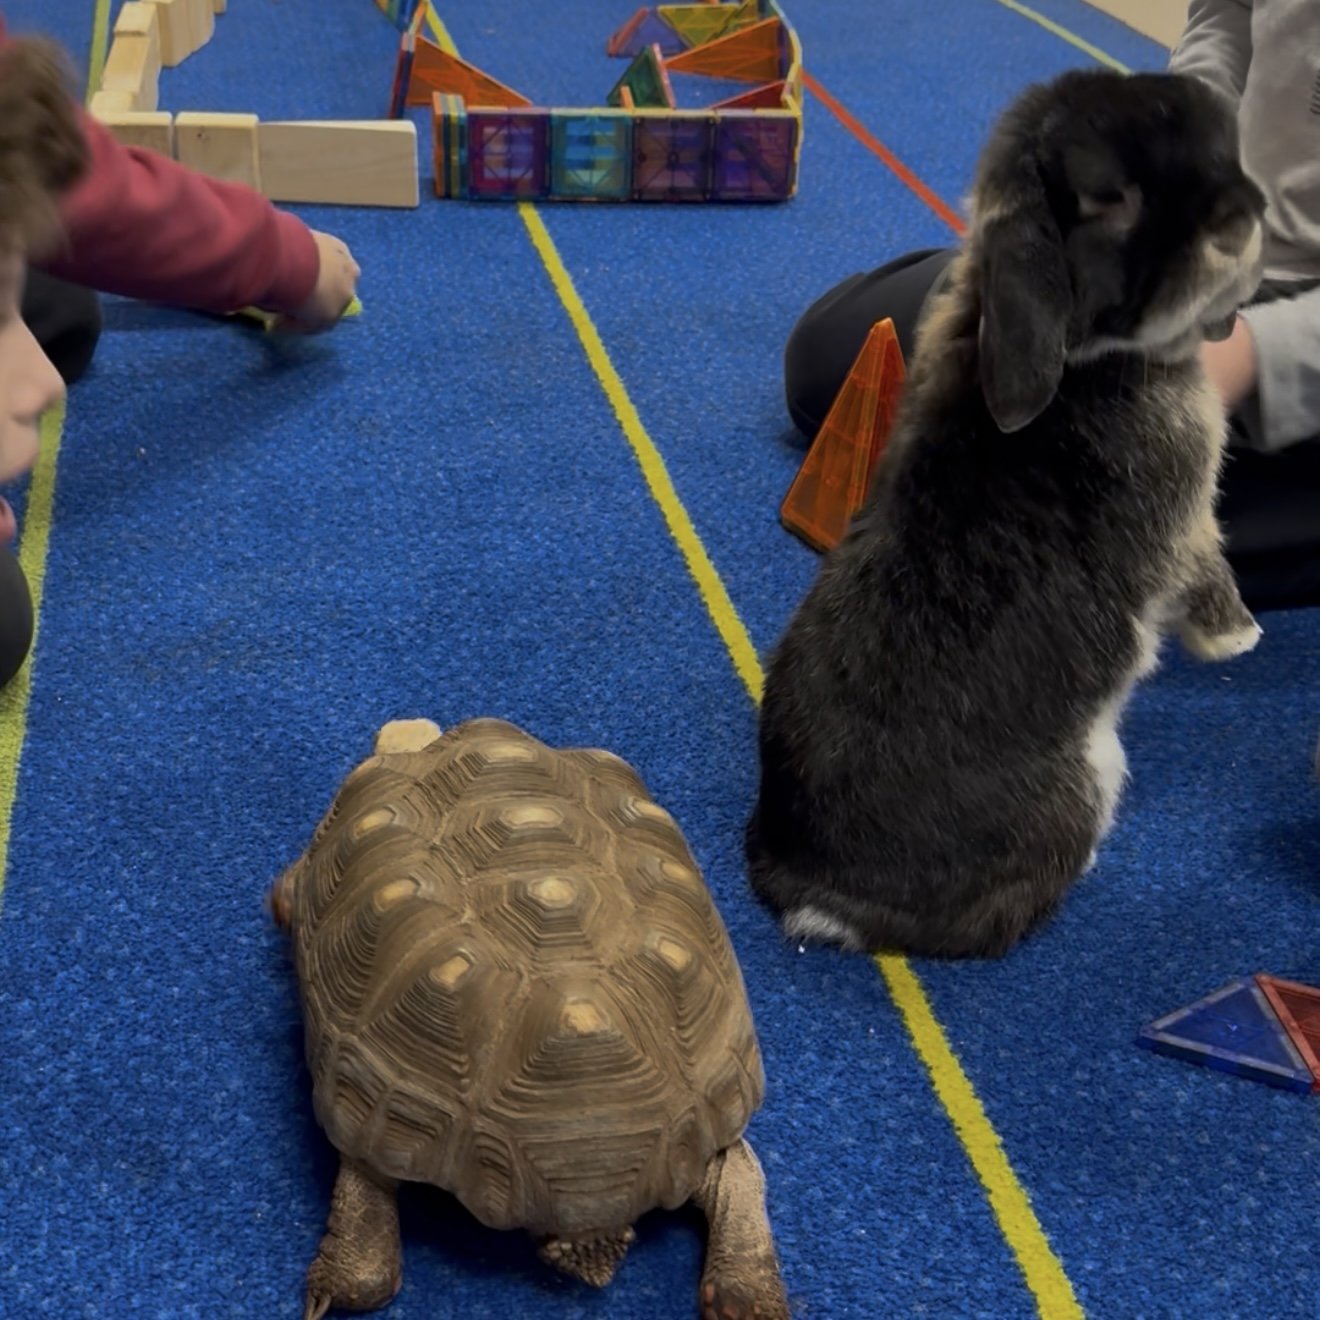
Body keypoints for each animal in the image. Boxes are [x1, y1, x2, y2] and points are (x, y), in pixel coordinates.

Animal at [745, 68, 1268, 960]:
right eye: (1109, 198)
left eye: (1220, 144)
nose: (1243, 220)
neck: (1092, 357)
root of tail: (818, 901)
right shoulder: (1185, 523)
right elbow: (1207, 570)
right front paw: (1240, 638)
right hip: (1078, 787)